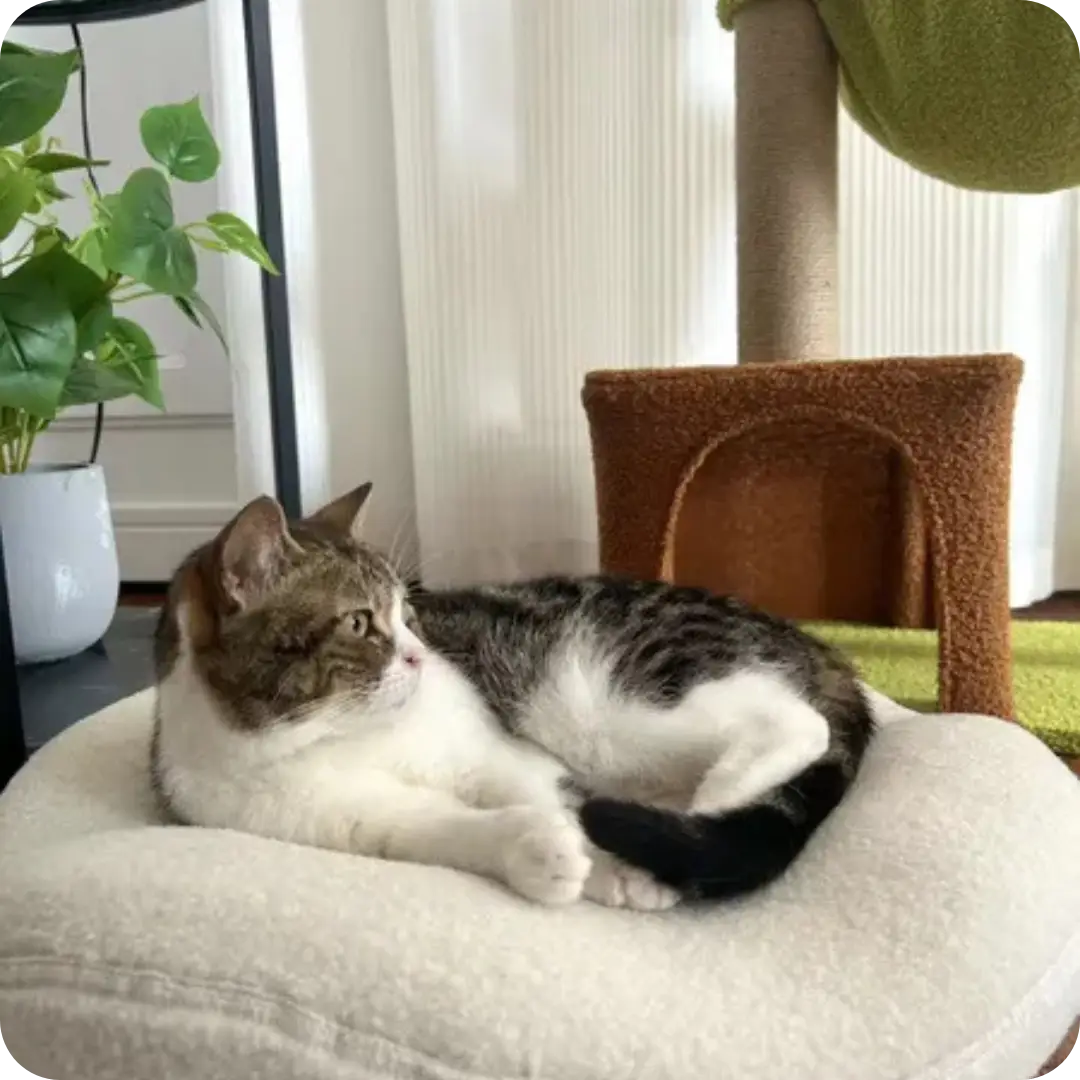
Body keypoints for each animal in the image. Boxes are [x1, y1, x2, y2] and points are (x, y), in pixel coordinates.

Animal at [152, 481, 872, 911]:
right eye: (359, 624)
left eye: (409, 614)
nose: (419, 656)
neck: (343, 736)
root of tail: (820, 650)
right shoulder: (336, 816)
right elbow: (439, 828)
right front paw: (541, 855)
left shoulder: (497, 748)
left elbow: (535, 787)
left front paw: (610, 860)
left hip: (592, 697)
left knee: (798, 723)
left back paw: (721, 793)